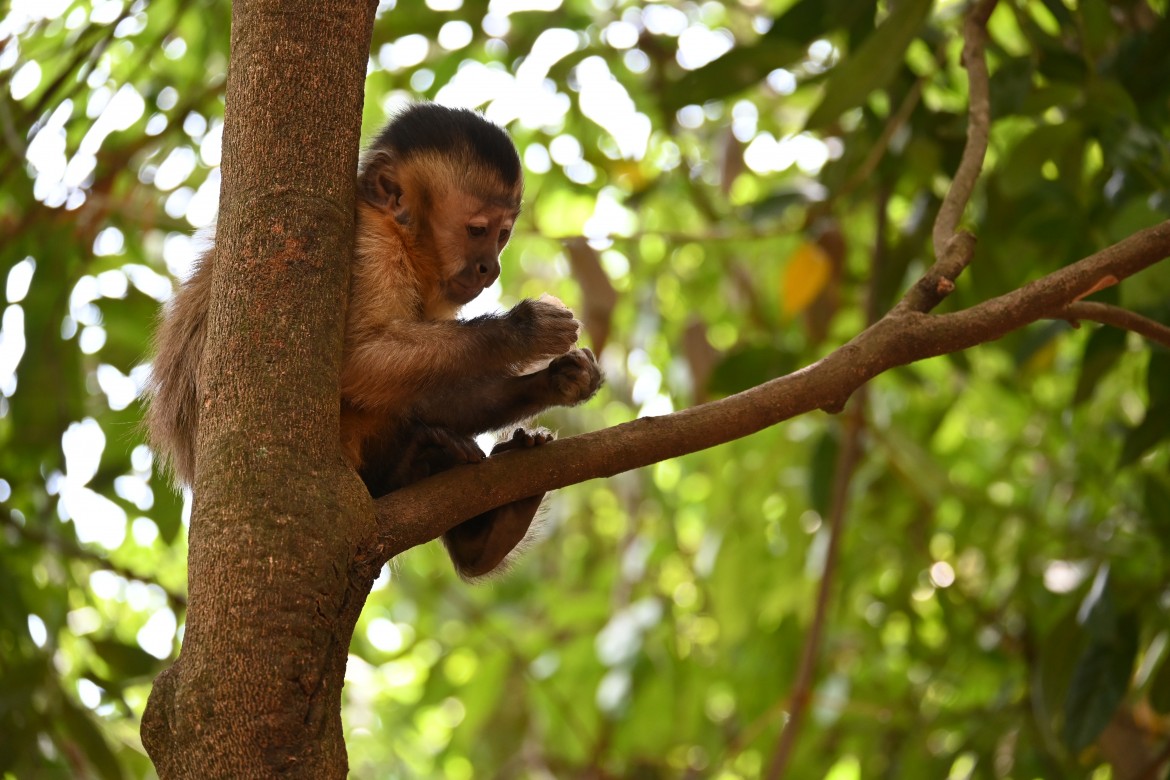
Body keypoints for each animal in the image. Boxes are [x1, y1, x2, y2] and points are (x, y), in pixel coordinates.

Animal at [146, 103, 599, 580]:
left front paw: (561, 380)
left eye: (503, 235)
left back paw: (490, 532)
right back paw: (417, 462)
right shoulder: (369, 244)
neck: (401, 236)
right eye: (477, 230)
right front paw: (524, 329)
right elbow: (357, 362)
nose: (489, 268)